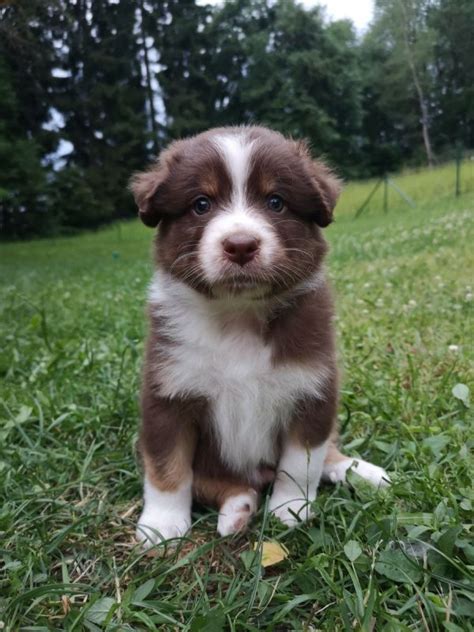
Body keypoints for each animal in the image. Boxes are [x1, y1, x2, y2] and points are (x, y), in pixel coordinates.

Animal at [130, 124, 388, 548]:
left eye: (276, 202)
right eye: (201, 204)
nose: (240, 245)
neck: (237, 316)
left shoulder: (312, 391)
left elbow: (300, 463)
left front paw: (290, 508)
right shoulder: (168, 396)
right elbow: (167, 469)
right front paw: (162, 526)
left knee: (327, 453)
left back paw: (359, 471)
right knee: (221, 484)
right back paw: (239, 509)